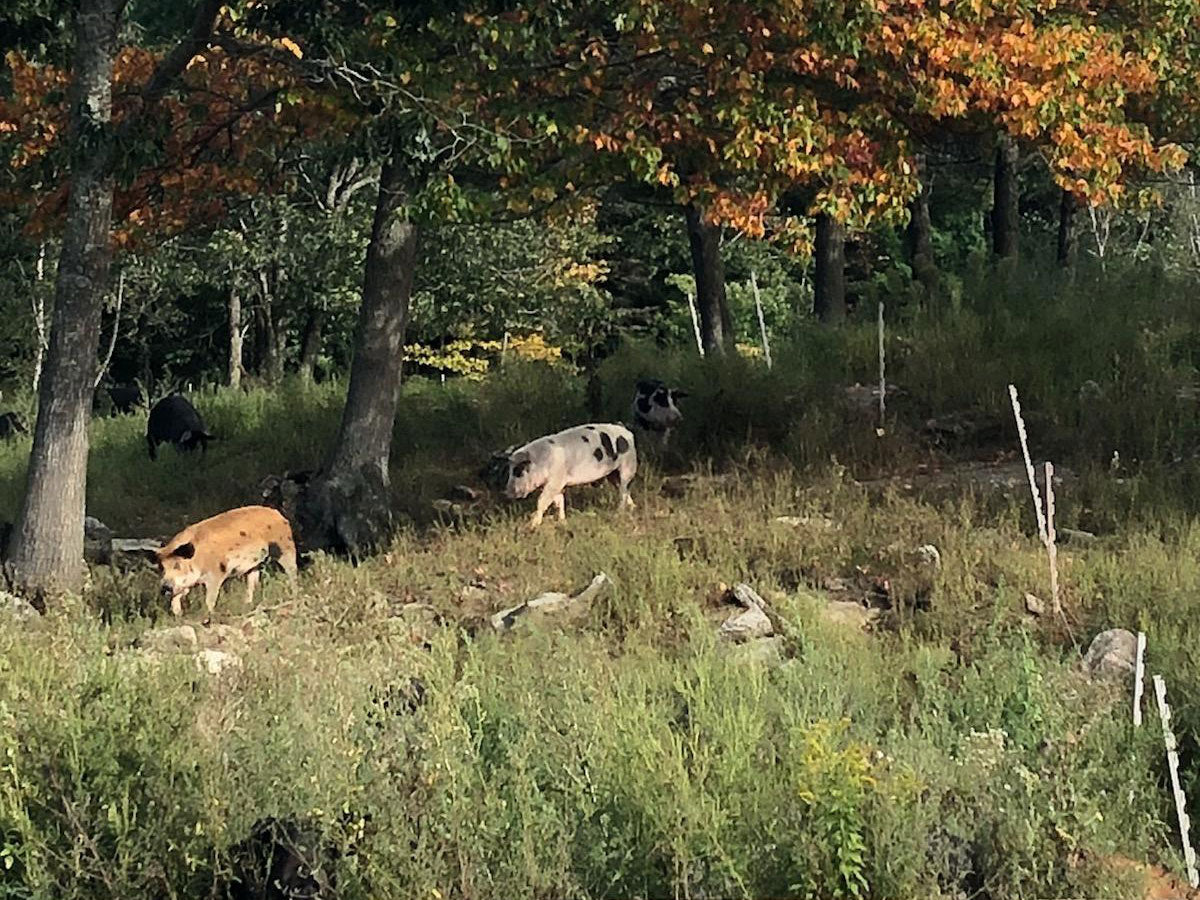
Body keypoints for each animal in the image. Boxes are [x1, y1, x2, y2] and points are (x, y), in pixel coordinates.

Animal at [155, 505, 298, 617]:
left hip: (285, 547)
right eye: (162, 567)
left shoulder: (216, 574)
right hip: (255, 565)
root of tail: (278, 514)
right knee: (252, 583)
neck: (199, 558)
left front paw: (208, 615)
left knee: (292, 571)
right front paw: (178, 615)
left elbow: (210, 599)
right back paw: (247, 604)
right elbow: (177, 598)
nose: (165, 587)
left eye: (177, 565)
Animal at [493, 423, 637, 528]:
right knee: (624, 490)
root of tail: (626, 431)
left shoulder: (554, 482)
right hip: (612, 474)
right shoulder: (557, 485)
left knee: (623, 491)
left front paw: (532, 525)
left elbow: (542, 501)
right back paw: (632, 507)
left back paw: (619, 513)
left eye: (519, 471)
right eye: (510, 470)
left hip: (627, 467)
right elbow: (559, 502)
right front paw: (562, 521)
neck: (542, 461)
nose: (507, 492)